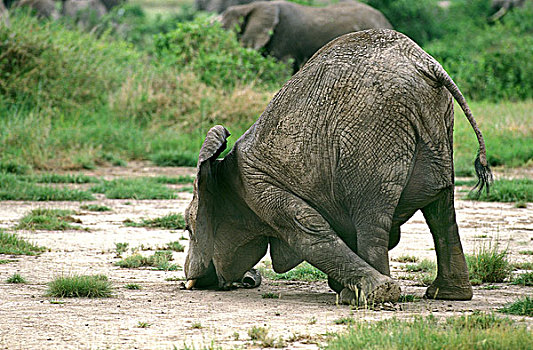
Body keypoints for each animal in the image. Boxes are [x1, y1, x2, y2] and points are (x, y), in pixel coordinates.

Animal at [183, 28, 490, 304]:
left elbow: (308, 231)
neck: (222, 173)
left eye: (187, 228)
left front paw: (364, 290)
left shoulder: (258, 187)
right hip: (436, 125)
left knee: (372, 218)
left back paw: (367, 298)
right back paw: (448, 295)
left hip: (372, 129)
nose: (250, 280)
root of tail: (427, 64)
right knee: (441, 209)